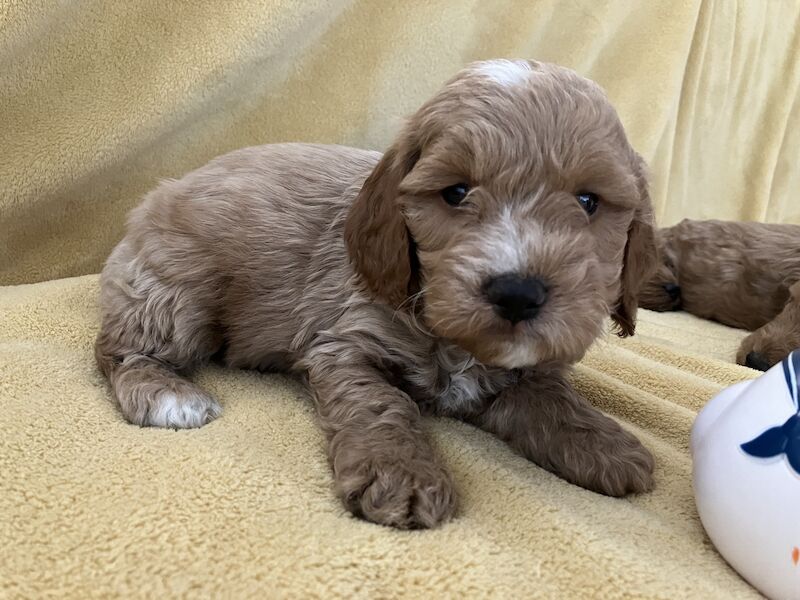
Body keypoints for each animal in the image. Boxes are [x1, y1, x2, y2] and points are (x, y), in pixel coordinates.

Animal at [95, 59, 656, 528]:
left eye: (588, 201)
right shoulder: (346, 343)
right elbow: (382, 404)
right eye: (456, 192)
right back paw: (168, 396)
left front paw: (604, 444)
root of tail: (156, 196)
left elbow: (550, 399)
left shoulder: (522, 369)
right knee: (118, 351)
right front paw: (402, 475)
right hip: (176, 293)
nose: (517, 293)